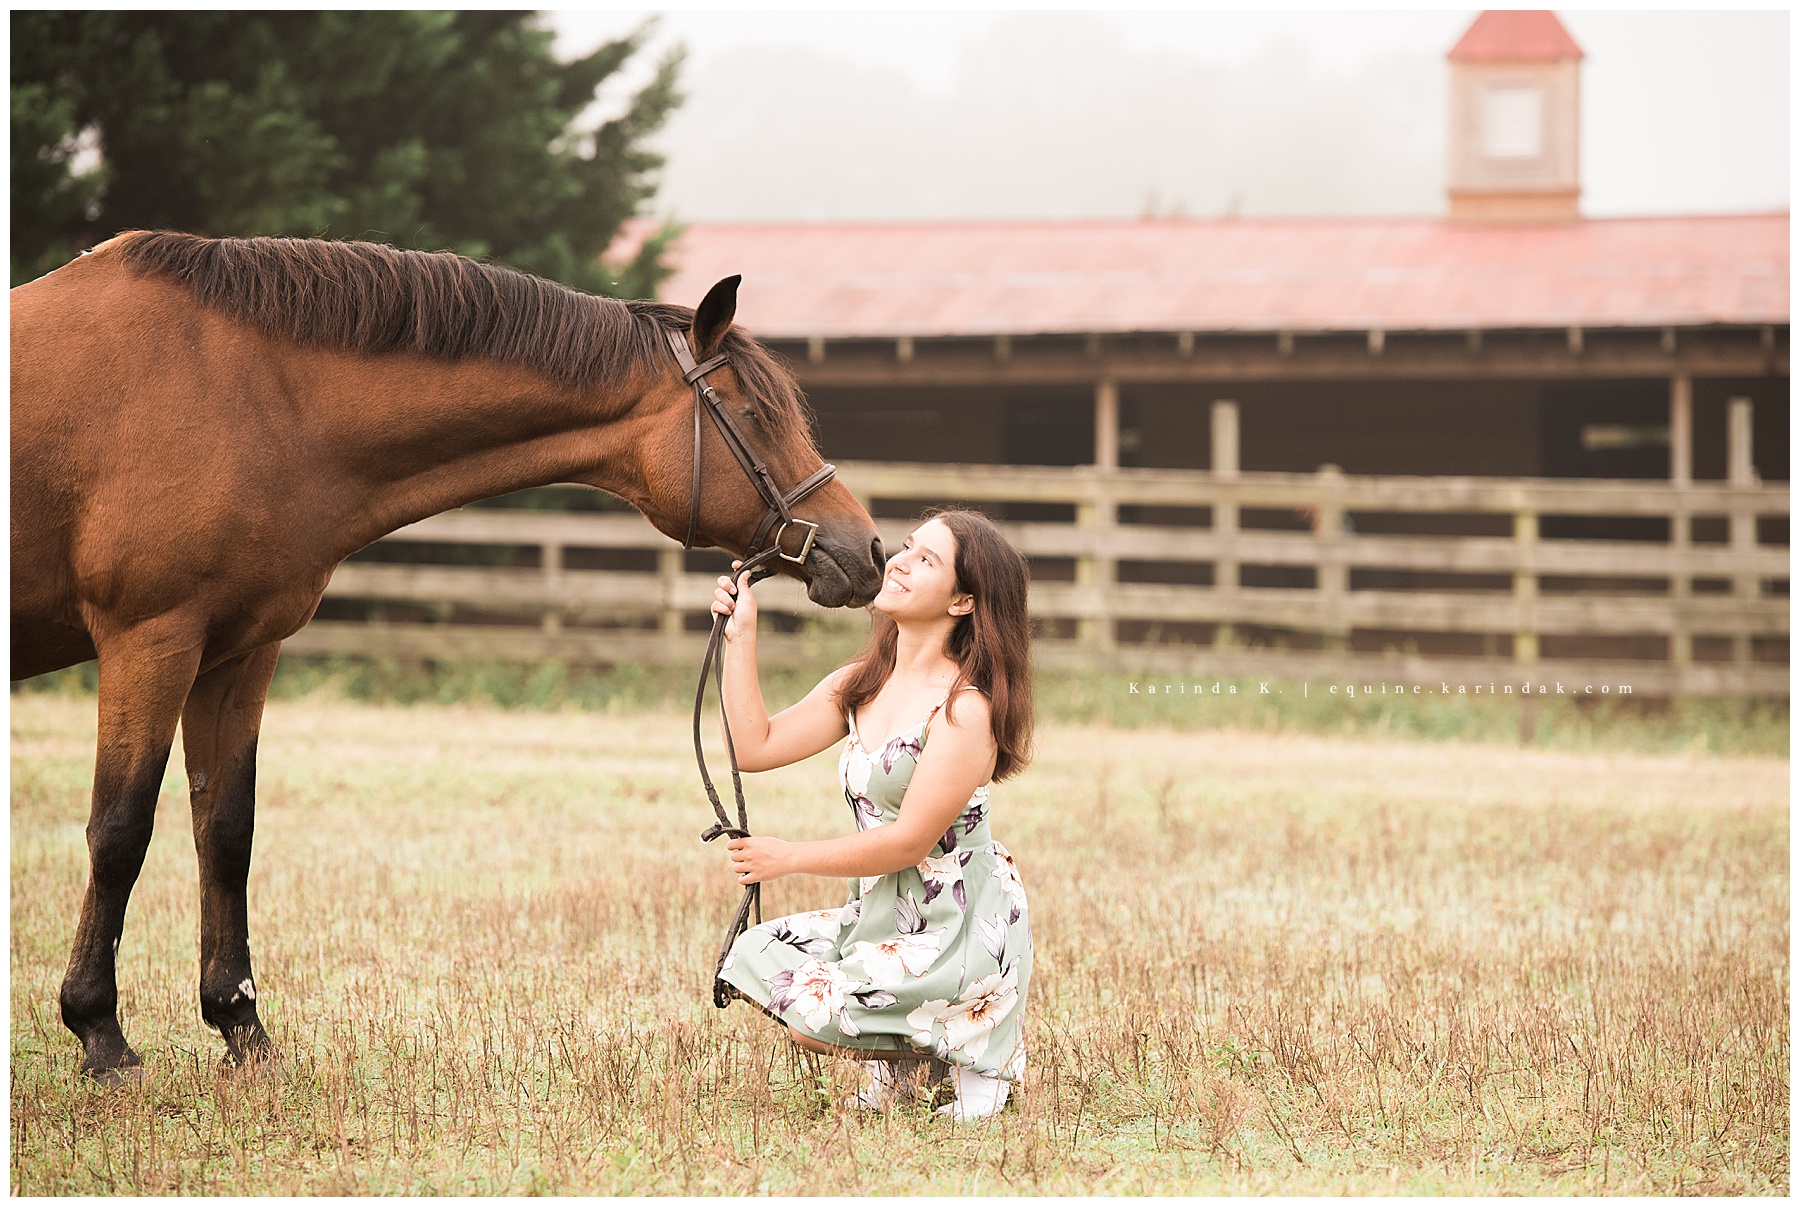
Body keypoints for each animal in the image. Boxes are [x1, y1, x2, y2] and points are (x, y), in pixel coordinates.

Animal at [10, 231, 886, 1082]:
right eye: (754, 413)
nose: (869, 549)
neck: (249, 393)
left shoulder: (240, 653)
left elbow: (225, 831)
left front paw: (241, 1028)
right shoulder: (150, 639)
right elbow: (119, 829)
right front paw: (101, 1034)